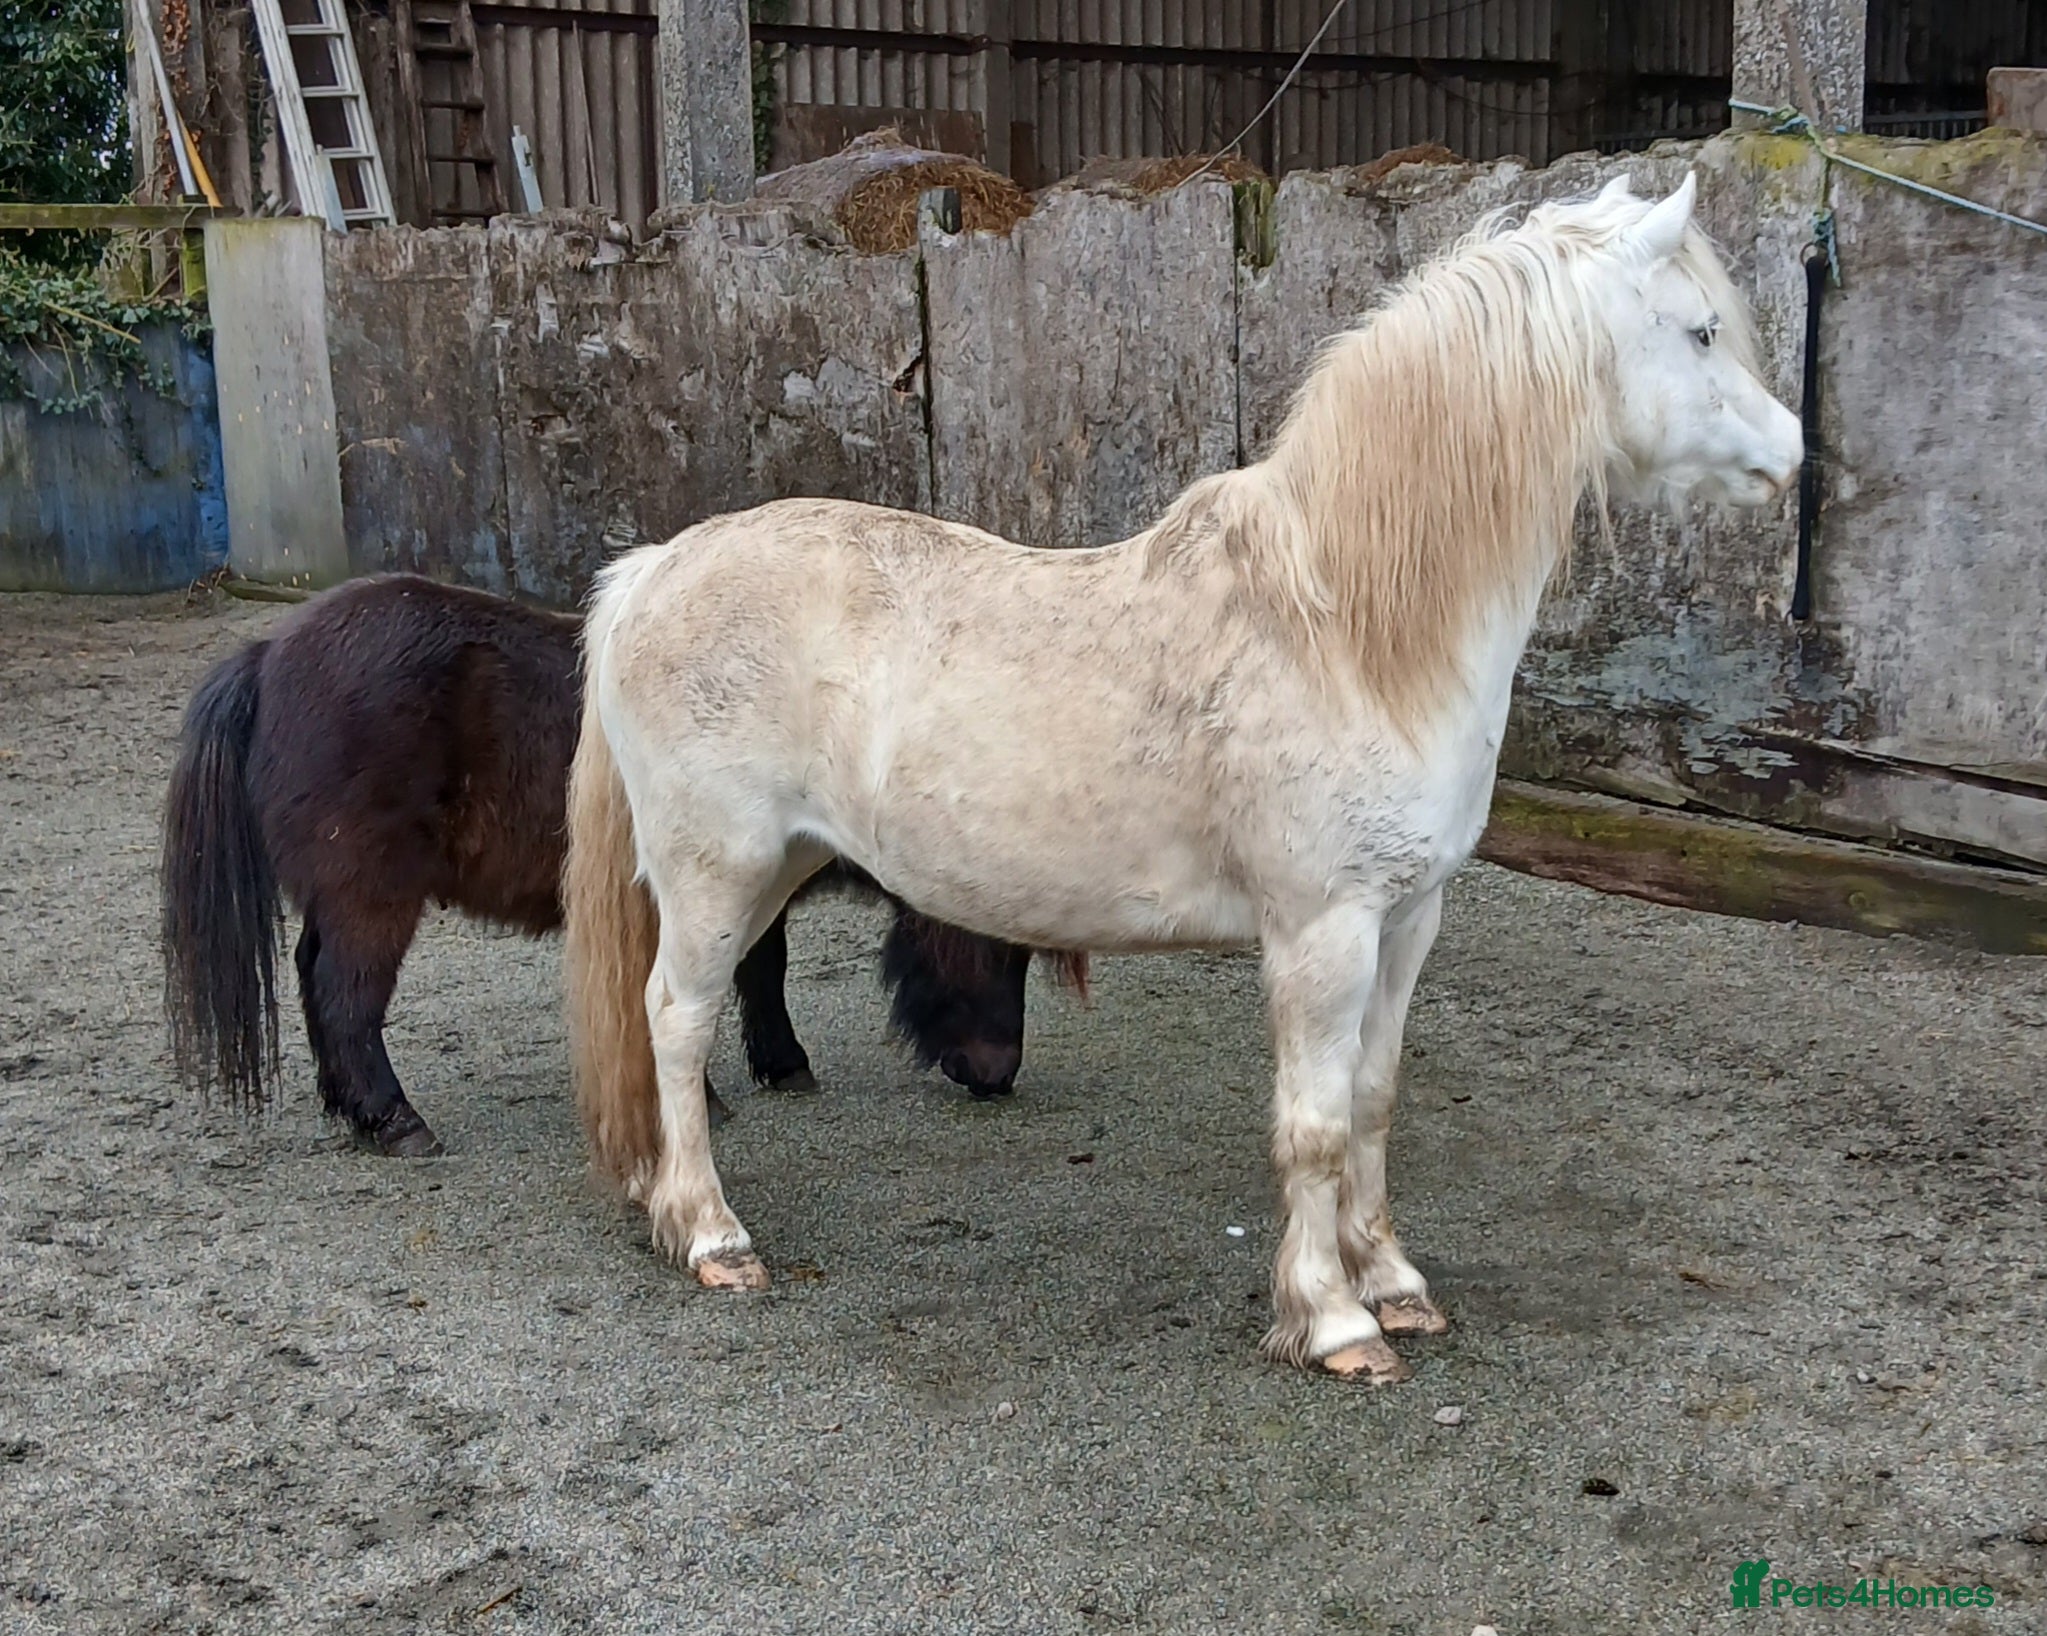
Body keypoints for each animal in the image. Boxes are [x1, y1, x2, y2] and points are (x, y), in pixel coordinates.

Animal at [161, 575, 1081, 1158]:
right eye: (998, 942)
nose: (996, 1075)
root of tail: (269, 653)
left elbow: (761, 969)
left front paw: (775, 1065)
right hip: (372, 896)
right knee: (346, 996)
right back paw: (393, 1121)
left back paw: (351, 1111)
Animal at [563, 173, 1803, 1381]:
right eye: (1699, 330)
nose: (1792, 451)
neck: (1343, 630)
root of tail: (653, 567)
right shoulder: (1321, 933)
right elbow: (1311, 1126)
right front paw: (1333, 1322)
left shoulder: (1408, 919)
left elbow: (1370, 1102)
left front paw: (1392, 1281)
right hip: (716, 873)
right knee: (676, 1018)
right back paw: (712, 1234)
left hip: (776, 864)